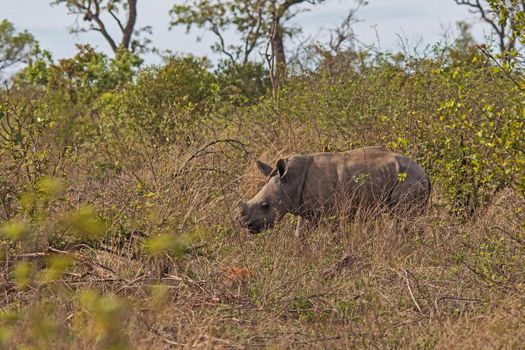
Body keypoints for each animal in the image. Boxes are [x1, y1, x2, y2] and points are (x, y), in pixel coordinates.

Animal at [237, 146, 430, 237]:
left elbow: (334, 234)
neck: (290, 181)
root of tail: (425, 173)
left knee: (402, 217)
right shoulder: (304, 206)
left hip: (410, 180)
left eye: (265, 205)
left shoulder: (333, 212)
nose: (246, 225)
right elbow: (300, 233)